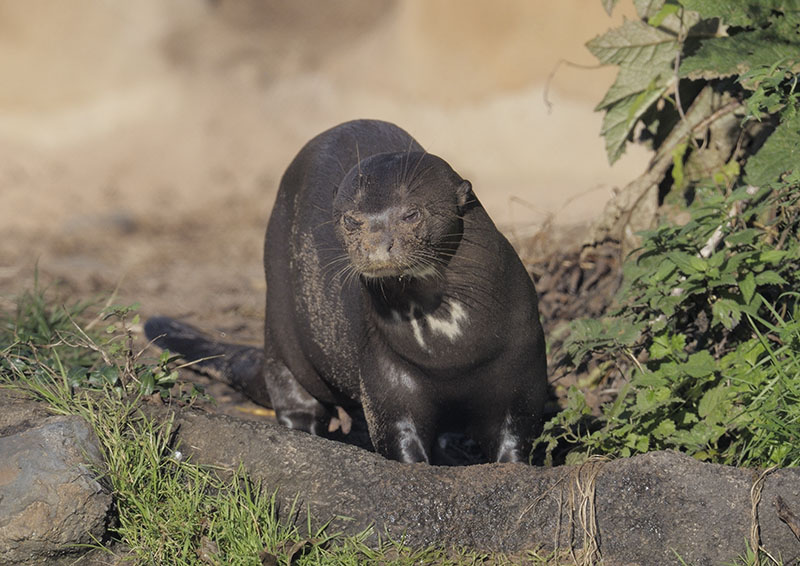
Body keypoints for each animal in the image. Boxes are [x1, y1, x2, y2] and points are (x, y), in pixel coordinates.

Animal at [145, 119, 547, 464]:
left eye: (411, 214)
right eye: (351, 220)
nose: (375, 245)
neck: (452, 350)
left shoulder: (520, 372)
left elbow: (517, 438)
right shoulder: (389, 374)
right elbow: (399, 436)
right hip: (278, 323)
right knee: (292, 393)